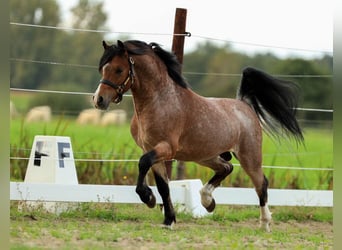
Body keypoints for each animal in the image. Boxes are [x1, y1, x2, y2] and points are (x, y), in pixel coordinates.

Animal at [92, 39, 304, 232]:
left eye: (119, 70)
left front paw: (148, 198)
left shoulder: (165, 148)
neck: (160, 101)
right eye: (102, 69)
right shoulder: (152, 149)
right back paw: (208, 201)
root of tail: (243, 104)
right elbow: (163, 186)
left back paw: (264, 223)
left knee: (261, 184)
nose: (99, 100)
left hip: (249, 156)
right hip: (205, 155)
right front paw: (168, 220)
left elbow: (143, 163)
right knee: (226, 168)